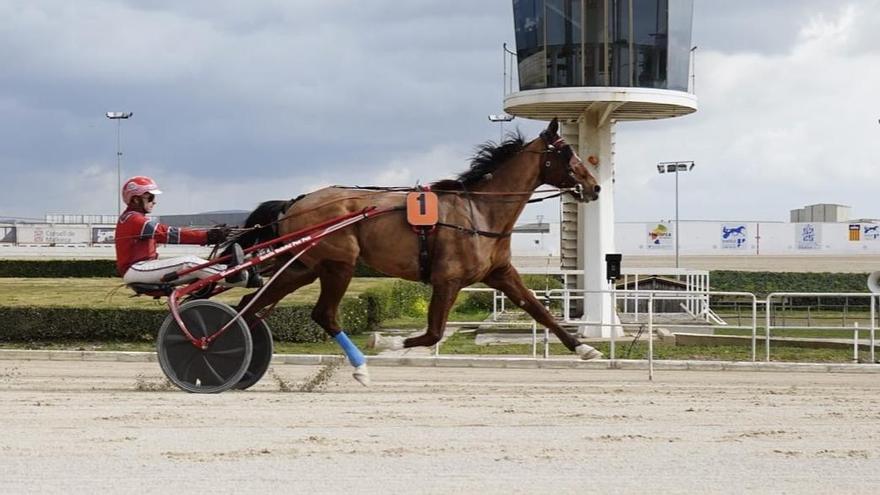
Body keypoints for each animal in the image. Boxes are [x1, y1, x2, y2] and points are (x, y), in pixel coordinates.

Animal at [234, 118, 600, 386]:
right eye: (567, 152)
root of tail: (295, 202)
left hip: (304, 267)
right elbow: (433, 332)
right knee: (324, 314)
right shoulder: (447, 280)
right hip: (339, 263)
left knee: (249, 305)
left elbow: (539, 310)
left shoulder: (501, 274)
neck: (480, 212)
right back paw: (360, 366)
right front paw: (385, 343)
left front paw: (585, 348)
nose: (595, 187)